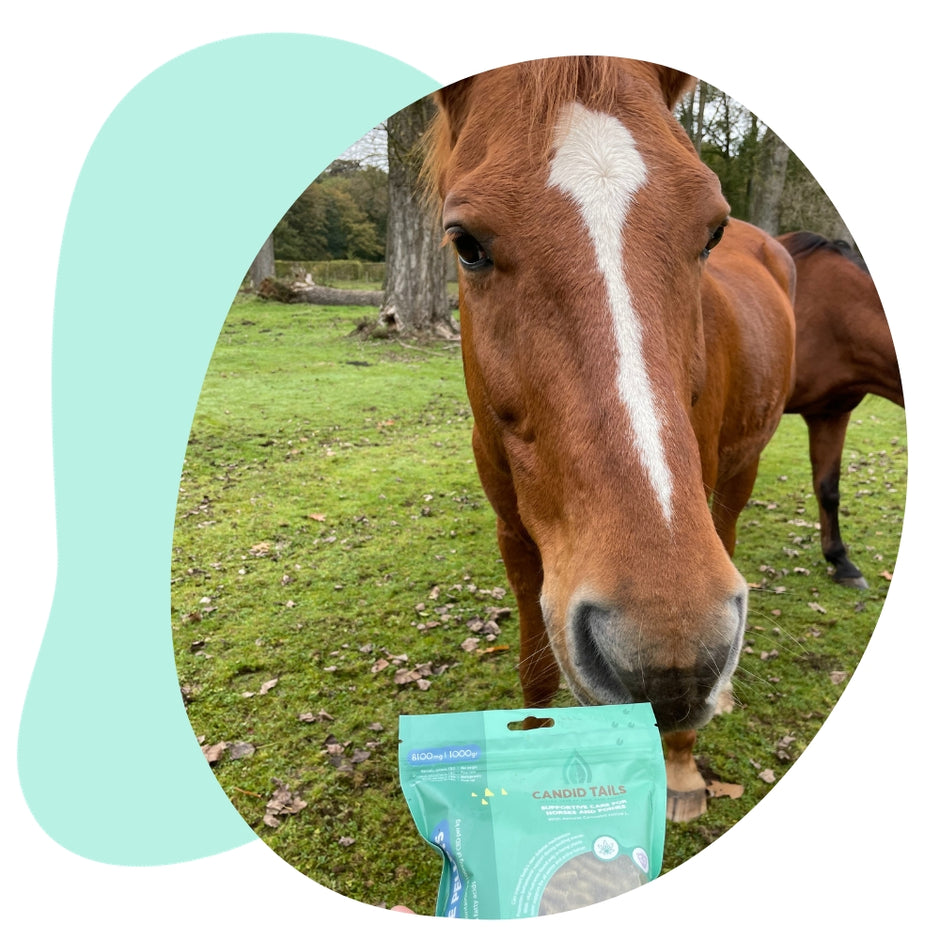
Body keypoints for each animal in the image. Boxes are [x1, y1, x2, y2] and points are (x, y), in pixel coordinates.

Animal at [424, 57, 797, 822]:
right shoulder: (516, 539)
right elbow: (536, 670)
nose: (671, 661)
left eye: (711, 231)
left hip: (738, 473)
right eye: (466, 244)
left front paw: (680, 768)